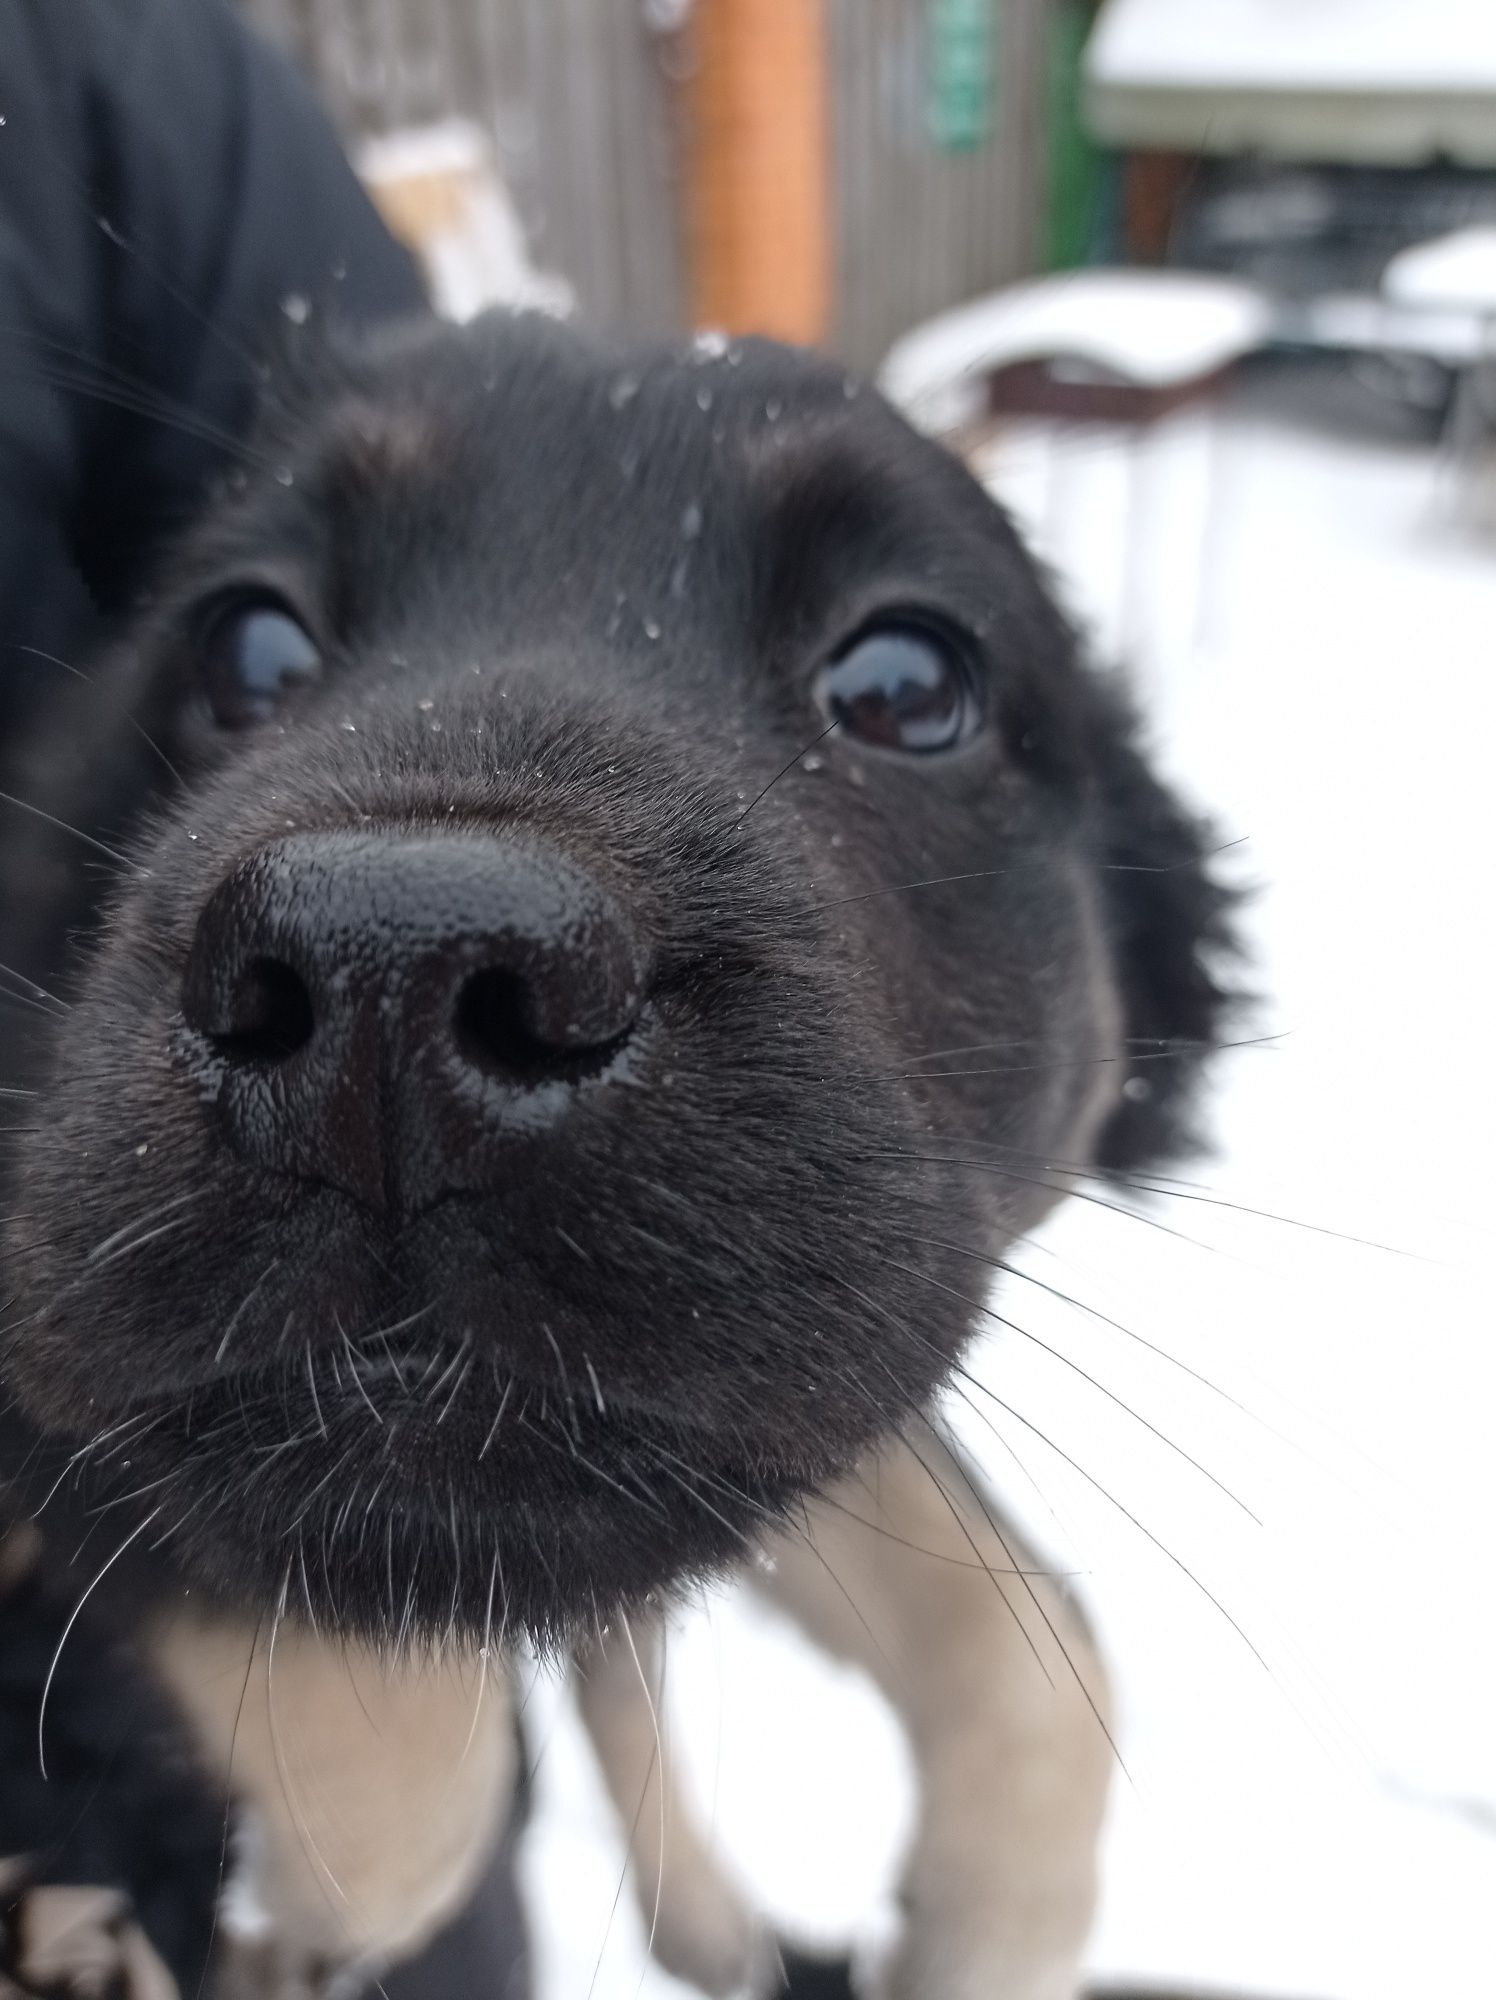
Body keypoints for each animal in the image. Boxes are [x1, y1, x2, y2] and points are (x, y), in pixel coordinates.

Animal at [0, 316, 1224, 2000]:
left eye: (909, 686)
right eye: (248, 650)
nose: (391, 983)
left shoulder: (815, 1347)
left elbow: (1030, 1646)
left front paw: (989, 1940)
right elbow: (389, 1713)